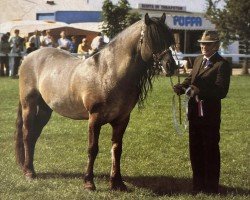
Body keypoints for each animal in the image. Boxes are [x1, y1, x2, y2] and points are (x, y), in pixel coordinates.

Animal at [15, 13, 176, 191]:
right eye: (153, 38)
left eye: (169, 39)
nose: (171, 66)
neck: (109, 73)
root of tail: (29, 56)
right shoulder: (95, 118)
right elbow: (93, 149)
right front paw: (89, 182)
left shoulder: (122, 120)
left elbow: (117, 149)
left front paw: (117, 183)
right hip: (29, 105)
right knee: (27, 134)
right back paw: (29, 172)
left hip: (45, 110)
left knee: (34, 135)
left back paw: (30, 168)